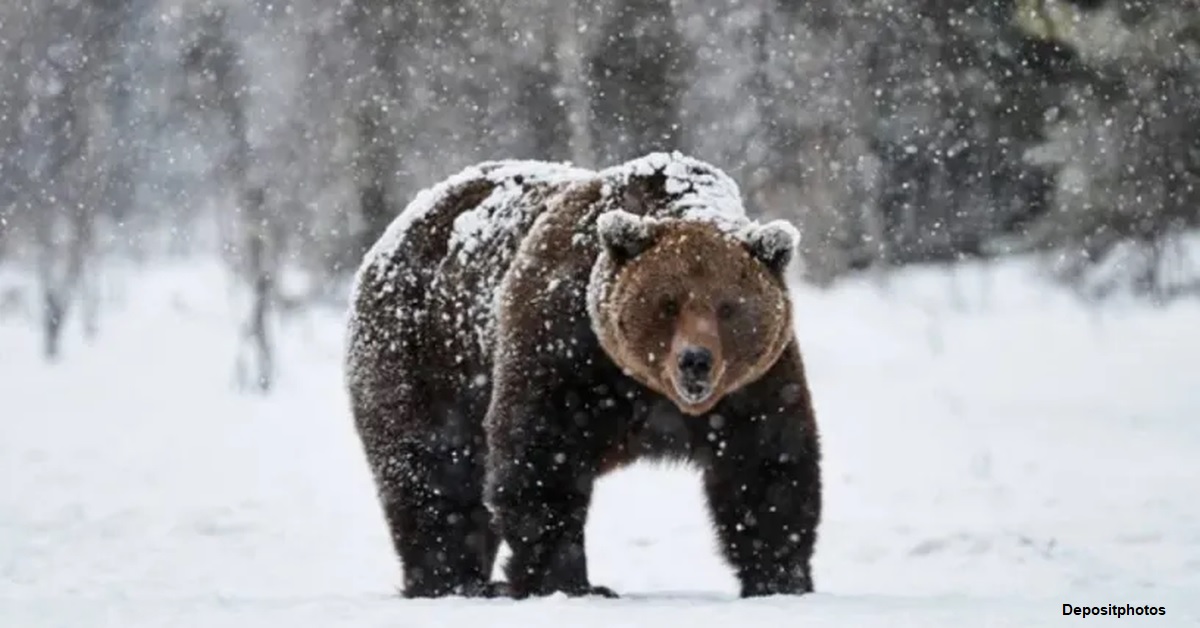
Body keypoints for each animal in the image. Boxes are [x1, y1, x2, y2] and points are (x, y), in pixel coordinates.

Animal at [343, 151, 820, 600]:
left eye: (728, 308)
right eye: (668, 303)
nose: (695, 360)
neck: (647, 388)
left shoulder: (754, 384)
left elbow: (768, 466)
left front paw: (781, 578)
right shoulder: (564, 347)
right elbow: (541, 458)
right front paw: (568, 581)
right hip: (427, 354)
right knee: (435, 473)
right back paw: (453, 580)